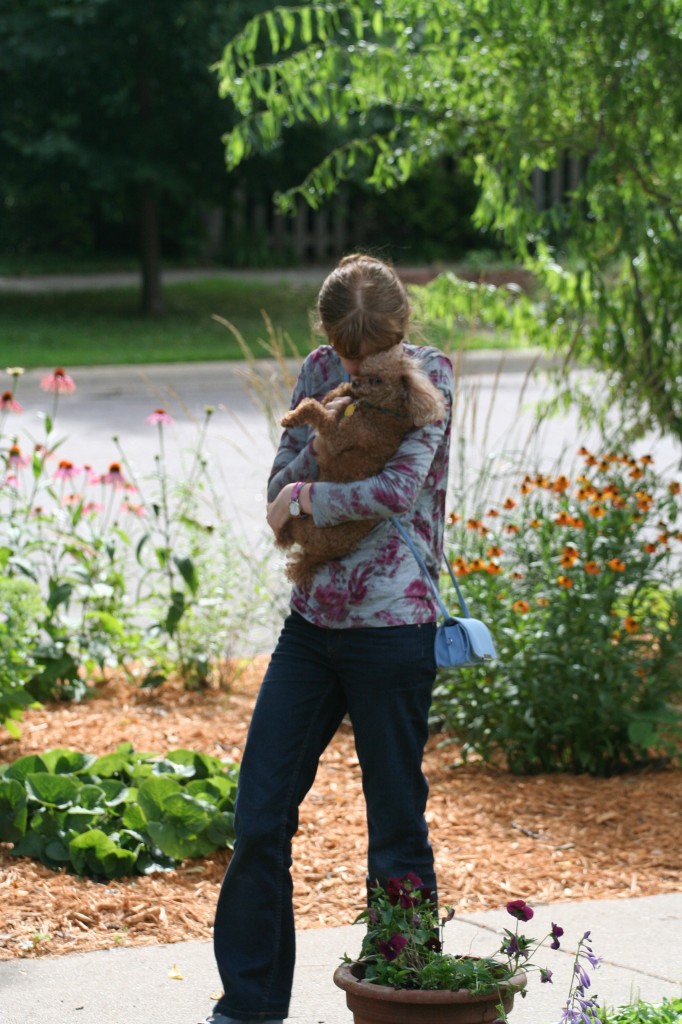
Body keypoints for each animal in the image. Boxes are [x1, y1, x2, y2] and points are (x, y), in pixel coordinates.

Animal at [274, 344, 444, 585]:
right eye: (363, 370)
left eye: (378, 380)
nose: (356, 382)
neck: (383, 409)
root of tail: (317, 556)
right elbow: (338, 394)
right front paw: (336, 394)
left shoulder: (339, 436)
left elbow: (314, 408)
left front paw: (292, 417)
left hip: (303, 525)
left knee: (286, 534)